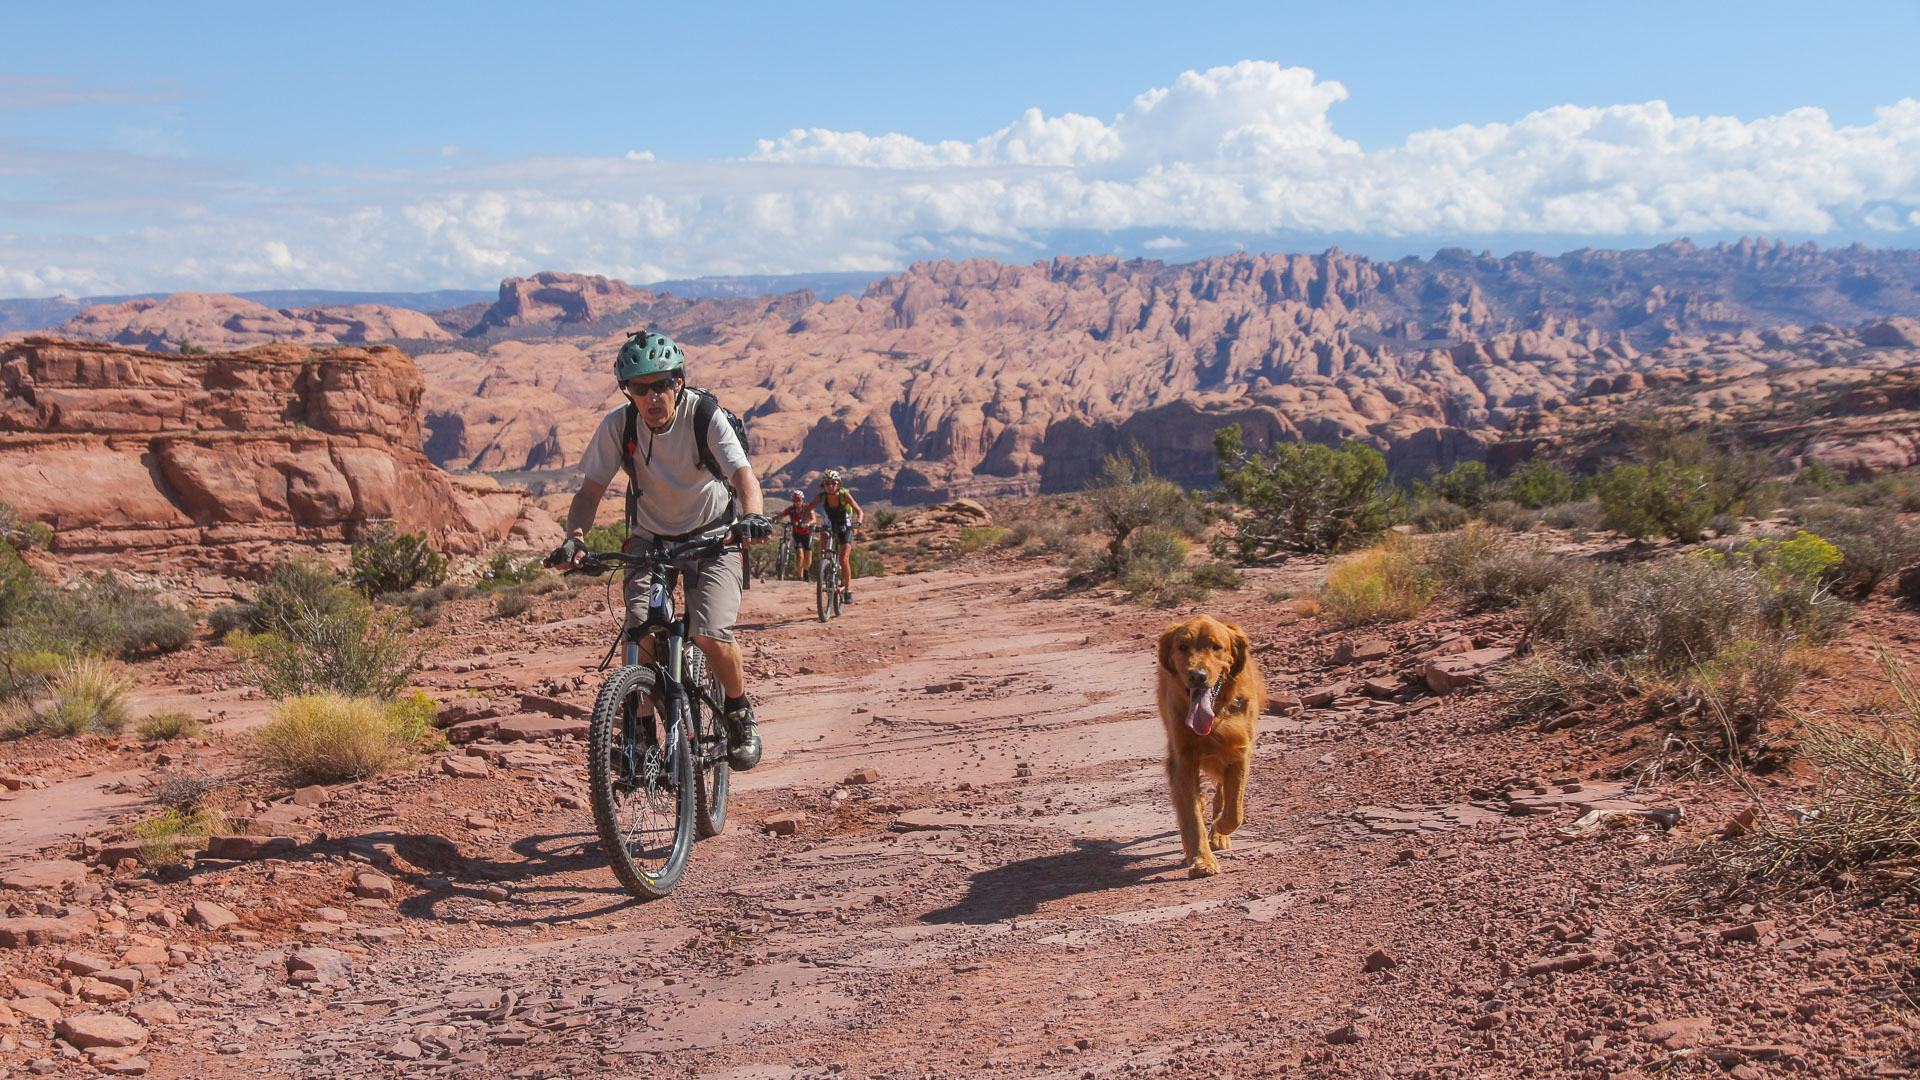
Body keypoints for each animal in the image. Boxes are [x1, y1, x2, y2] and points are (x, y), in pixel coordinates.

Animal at [1152, 614, 1259, 876]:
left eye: (1216, 647)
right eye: (1182, 647)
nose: (1197, 675)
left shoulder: (1240, 752)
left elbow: (1234, 810)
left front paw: (1219, 829)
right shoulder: (1182, 760)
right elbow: (1191, 816)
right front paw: (1202, 860)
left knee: (1223, 793)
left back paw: (1219, 834)